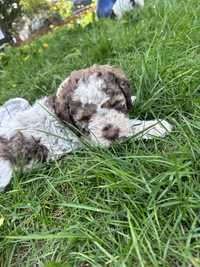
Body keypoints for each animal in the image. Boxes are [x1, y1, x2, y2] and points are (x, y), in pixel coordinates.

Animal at [0, 64, 172, 193]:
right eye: (85, 119)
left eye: (115, 104)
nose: (111, 133)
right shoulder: (90, 140)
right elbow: (131, 127)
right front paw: (156, 126)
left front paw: (134, 99)